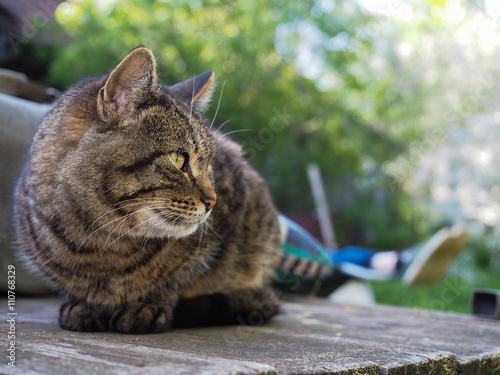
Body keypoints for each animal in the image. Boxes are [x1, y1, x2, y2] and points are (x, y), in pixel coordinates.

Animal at [12, 47, 282, 334]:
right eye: (178, 158)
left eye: (210, 165)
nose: (213, 201)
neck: (103, 243)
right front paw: (83, 305)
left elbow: (178, 276)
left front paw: (146, 306)